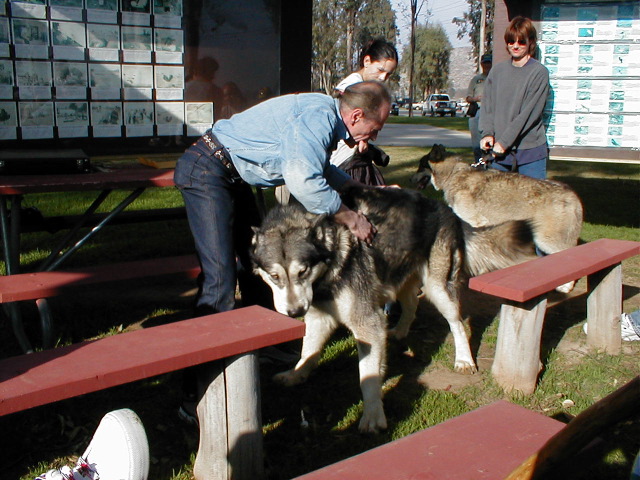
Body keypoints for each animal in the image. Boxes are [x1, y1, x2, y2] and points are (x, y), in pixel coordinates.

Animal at [251, 186, 536, 433]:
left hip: (438, 288)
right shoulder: (321, 316)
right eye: (274, 276)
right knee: (412, 303)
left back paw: (464, 359)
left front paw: (373, 415)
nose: (295, 312)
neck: (334, 251)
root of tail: (446, 209)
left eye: (303, 271)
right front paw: (296, 375)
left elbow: (365, 375)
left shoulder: (366, 322)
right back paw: (398, 331)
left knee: (456, 323)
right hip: (400, 278)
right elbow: (308, 351)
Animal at [412, 144, 584, 293]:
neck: (453, 173)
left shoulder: (475, 224)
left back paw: (565, 287)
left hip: (546, 241)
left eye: (420, 166)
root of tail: (573, 196)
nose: (409, 179)